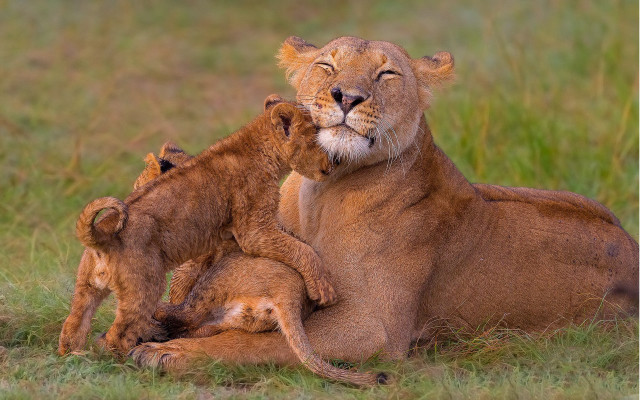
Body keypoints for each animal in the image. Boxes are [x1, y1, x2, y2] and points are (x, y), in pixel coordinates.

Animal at [59, 96, 337, 355]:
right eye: (320, 141)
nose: (333, 163)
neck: (257, 143)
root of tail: (101, 234)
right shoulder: (253, 229)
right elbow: (301, 249)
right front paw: (323, 289)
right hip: (145, 286)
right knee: (119, 334)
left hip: (86, 286)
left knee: (74, 324)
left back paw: (75, 355)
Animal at [129, 36, 638, 371]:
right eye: (327, 66)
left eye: (386, 73)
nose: (347, 97)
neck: (321, 192)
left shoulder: (370, 326)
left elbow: (269, 344)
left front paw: (167, 351)